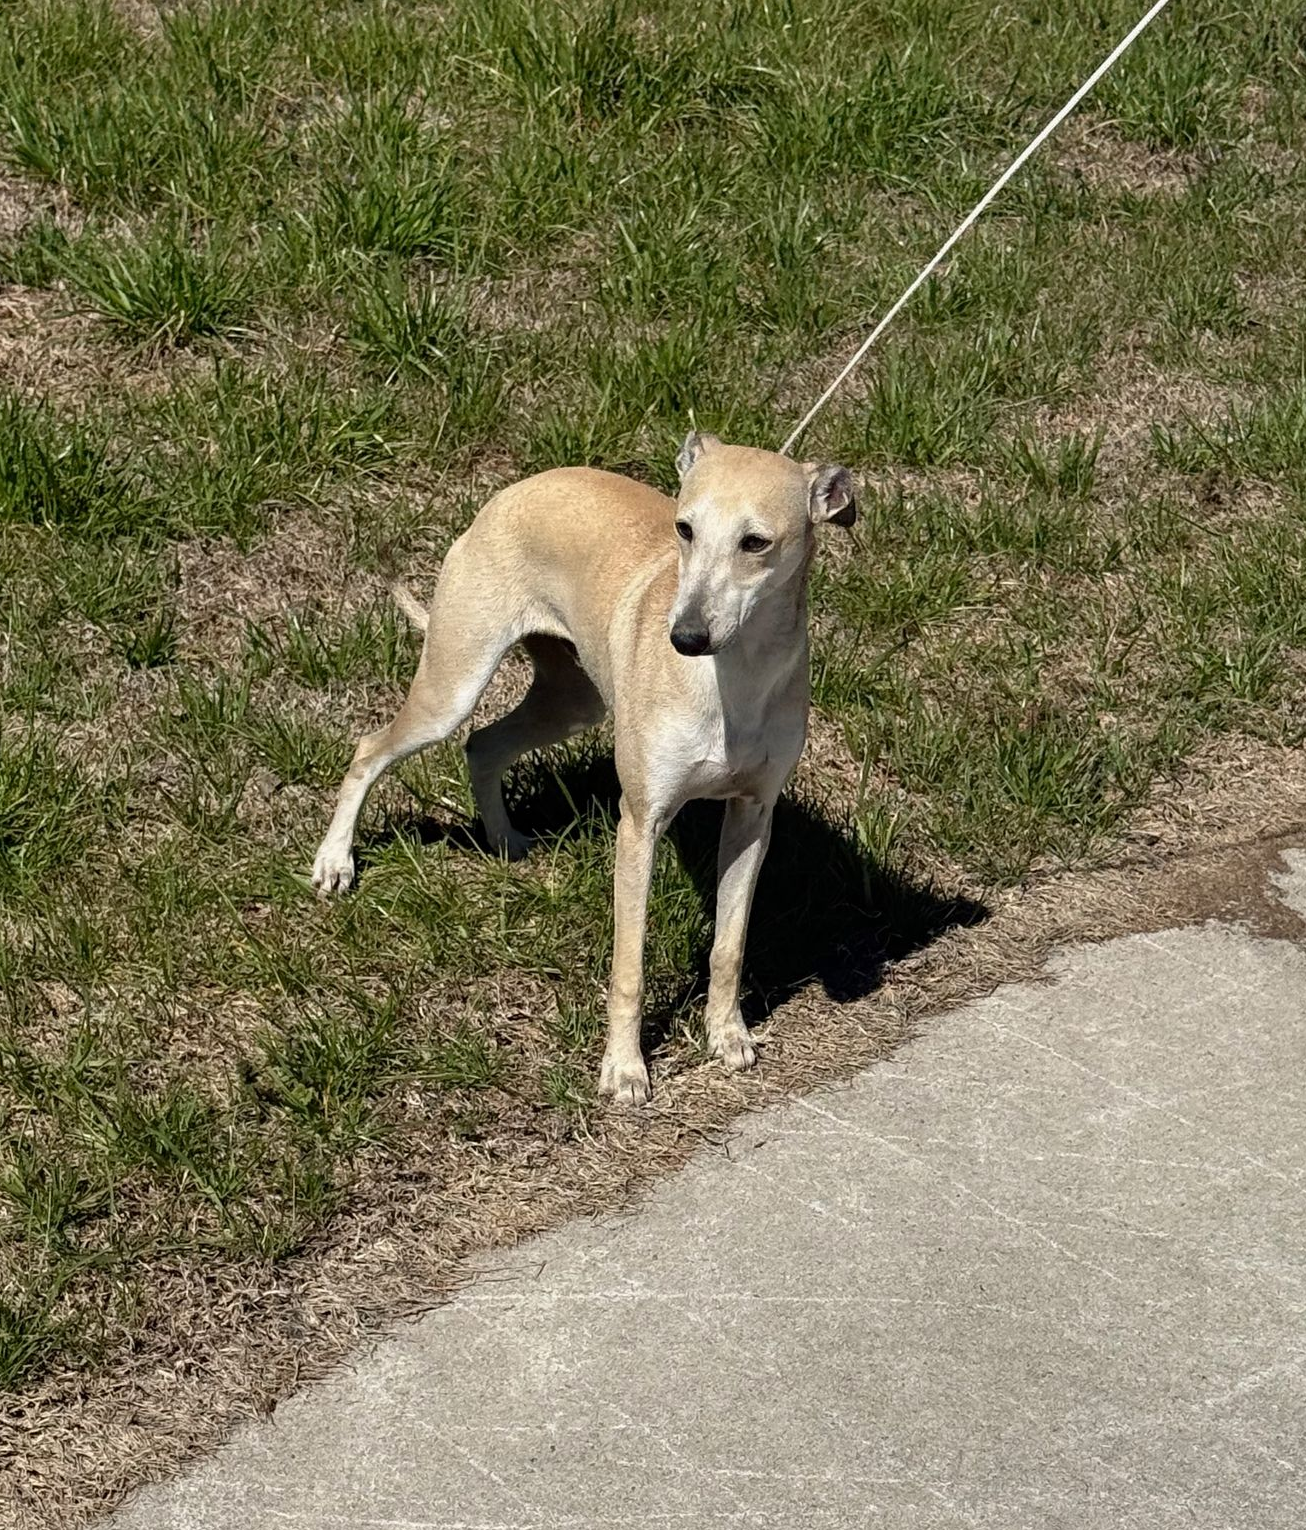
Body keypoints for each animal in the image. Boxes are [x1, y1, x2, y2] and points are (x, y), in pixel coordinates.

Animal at [312, 432, 856, 1103]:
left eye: (755, 542)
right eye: (684, 528)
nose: (685, 638)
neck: (736, 678)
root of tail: (514, 491)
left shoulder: (753, 816)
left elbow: (729, 947)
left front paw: (727, 1034)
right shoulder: (640, 822)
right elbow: (629, 966)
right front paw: (624, 1069)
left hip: (572, 701)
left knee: (482, 745)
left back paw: (503, 840)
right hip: (453, 685)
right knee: (370, 749)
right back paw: (335, 861)